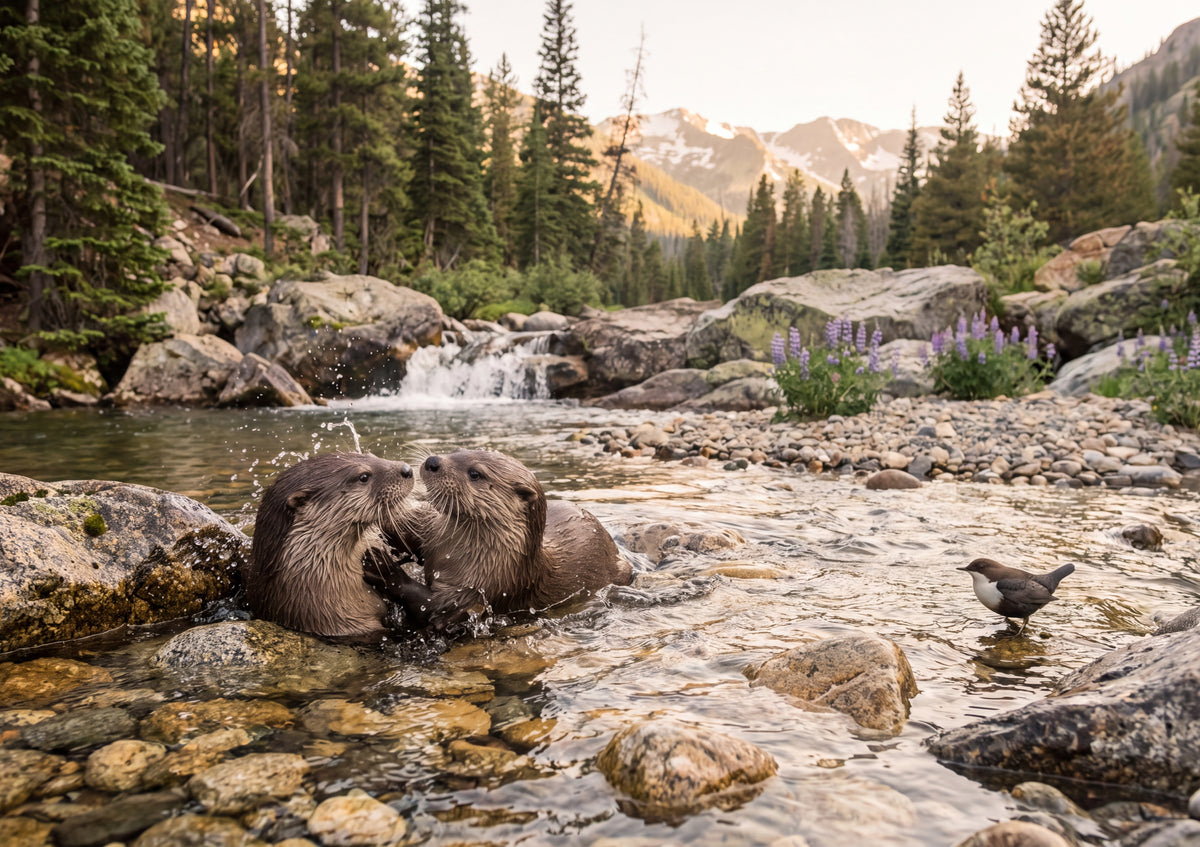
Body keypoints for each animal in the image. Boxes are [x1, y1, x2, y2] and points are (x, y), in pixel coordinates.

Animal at [377, 449, 631, 629]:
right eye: (457, 450)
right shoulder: (429, 530)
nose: (432, 461)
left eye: (475, 473)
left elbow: (430, 607)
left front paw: (382, 568)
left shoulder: (484, 586)